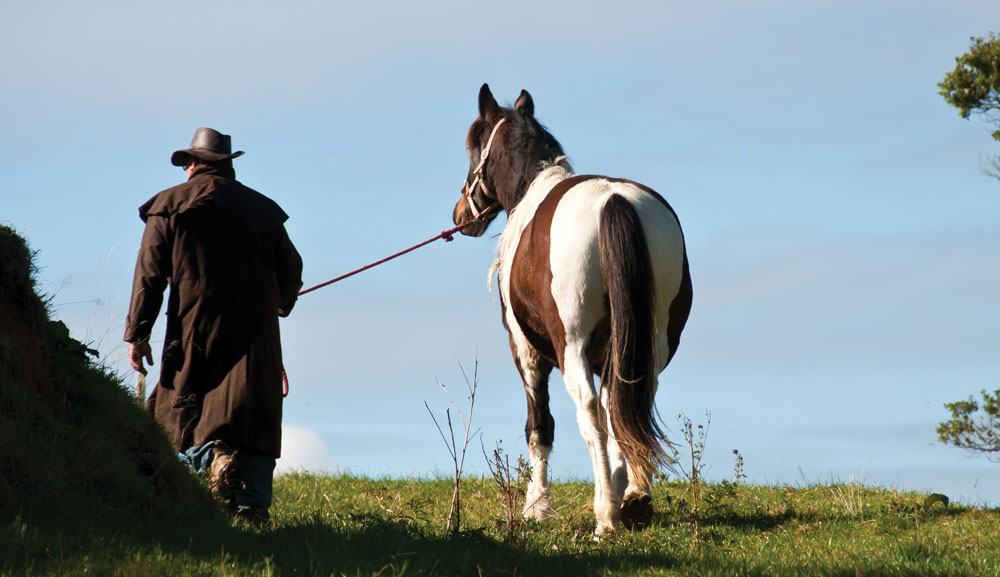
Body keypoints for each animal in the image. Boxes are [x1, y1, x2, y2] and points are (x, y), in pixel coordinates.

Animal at [456, 83, 696, 532]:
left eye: (474, 148)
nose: (461, 214)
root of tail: (614, 202)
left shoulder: (527, 352)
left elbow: (540, 427)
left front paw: (537, 506)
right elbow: (617, 410)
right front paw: (620, 487)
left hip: (572, 347)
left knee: (588, 412)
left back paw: (606, 517)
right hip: (650, 343)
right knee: (629, 400)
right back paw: (633, 499)